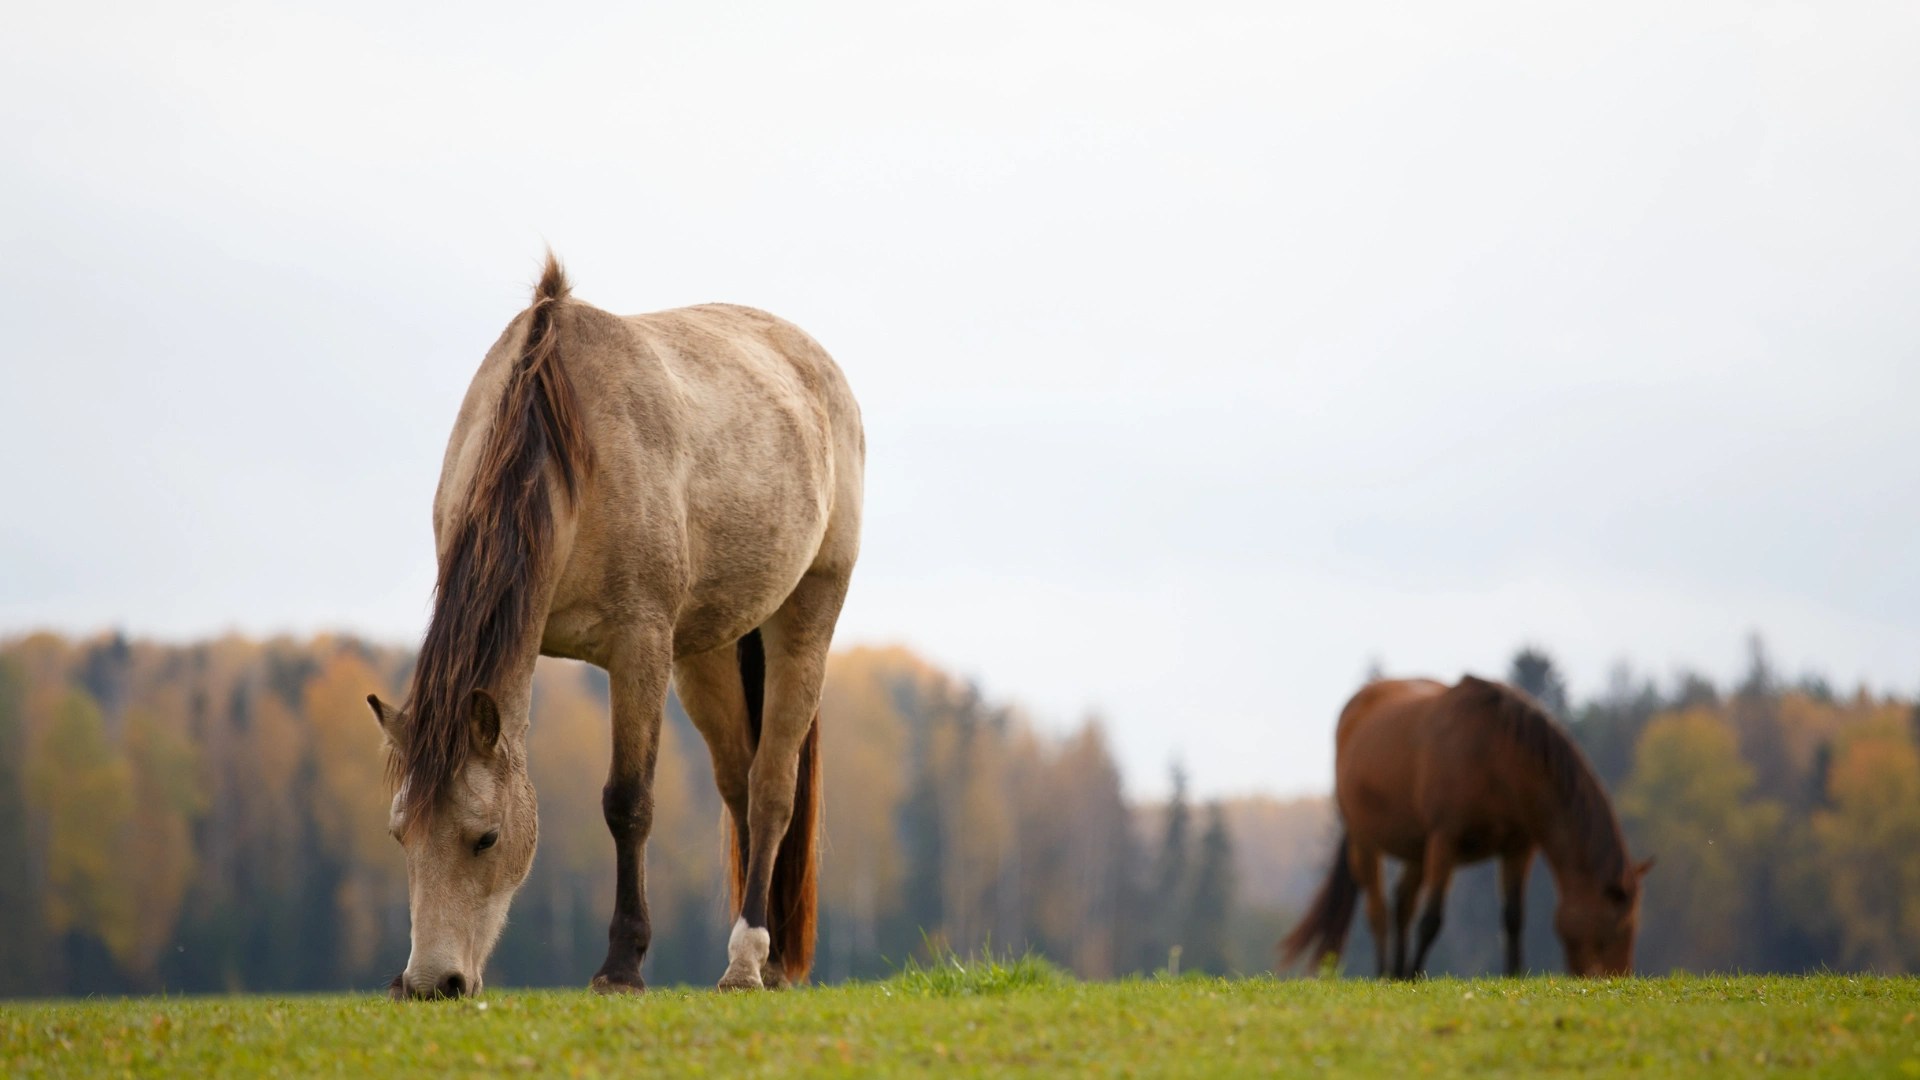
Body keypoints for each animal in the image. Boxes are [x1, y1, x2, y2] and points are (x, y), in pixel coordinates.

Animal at [365, 253, 863, 998]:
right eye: (401, 836)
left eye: (486, 837)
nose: (431, 982)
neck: (561, 445)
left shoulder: (640, 648)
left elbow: (628, 802)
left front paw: (622, 965)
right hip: (706, 656)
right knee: (739, 785)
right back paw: (770, 959)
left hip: (805, 616)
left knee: (772, 789)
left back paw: (748, 959)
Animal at [1280, 676, 1653, 978]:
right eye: (1618, 929)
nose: (1618, 979)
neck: (1497, 758)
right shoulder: (1445, 839)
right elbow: (1431, 920)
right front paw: (1415, 975)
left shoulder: (1519, 847)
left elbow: (1514, 917)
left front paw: (1513, 975)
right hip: (1366, 841)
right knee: (1378, 910)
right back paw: (1386, 971)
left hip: (1417, 848)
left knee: (1402, 903)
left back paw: (1396, 973)